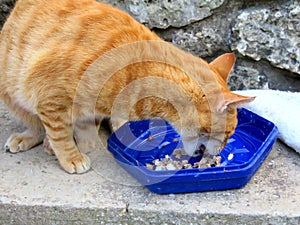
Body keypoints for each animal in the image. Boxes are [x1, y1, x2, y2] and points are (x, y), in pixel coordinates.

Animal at [0, 0, 253, 174]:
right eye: (227, 133)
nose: (221, 150)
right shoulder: (51, 99)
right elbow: (60, 134)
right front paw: (71, 156)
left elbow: (90, 124)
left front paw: (87, 141)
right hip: (11, 91)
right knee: (36, 125)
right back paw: (29, 138)